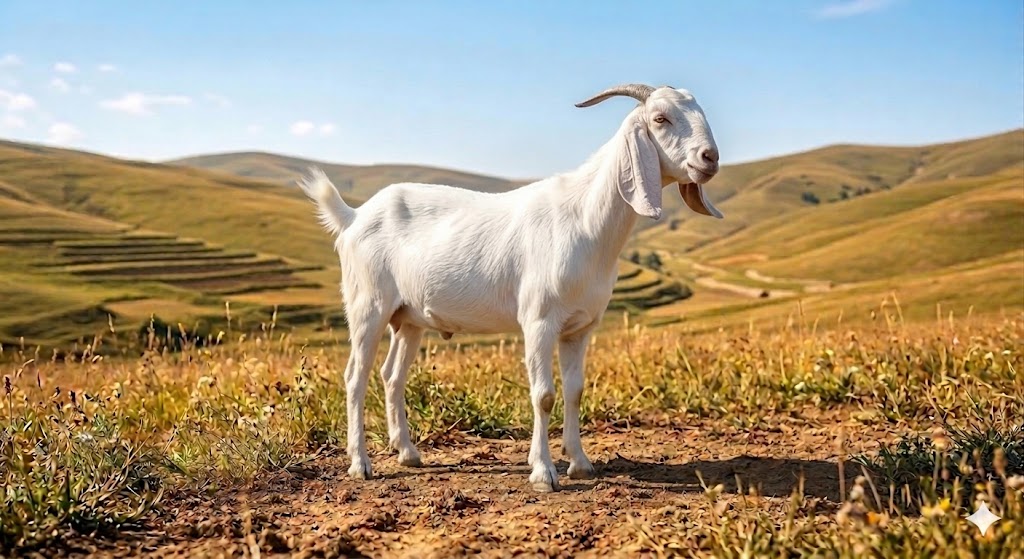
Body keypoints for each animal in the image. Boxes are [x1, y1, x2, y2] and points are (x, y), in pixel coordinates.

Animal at [297, 83, 722, 492]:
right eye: (661, 118)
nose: (710, 158)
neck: (586, 221)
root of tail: (353, 216)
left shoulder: (580, 327)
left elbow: (574, 390)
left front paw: (580, 463)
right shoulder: (539, 321)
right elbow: (544, 395)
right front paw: (543, 472)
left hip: (409, 318)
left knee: (392, 375)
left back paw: (407, 452)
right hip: (367, 305)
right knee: (356, 376)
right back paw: (360, 464)